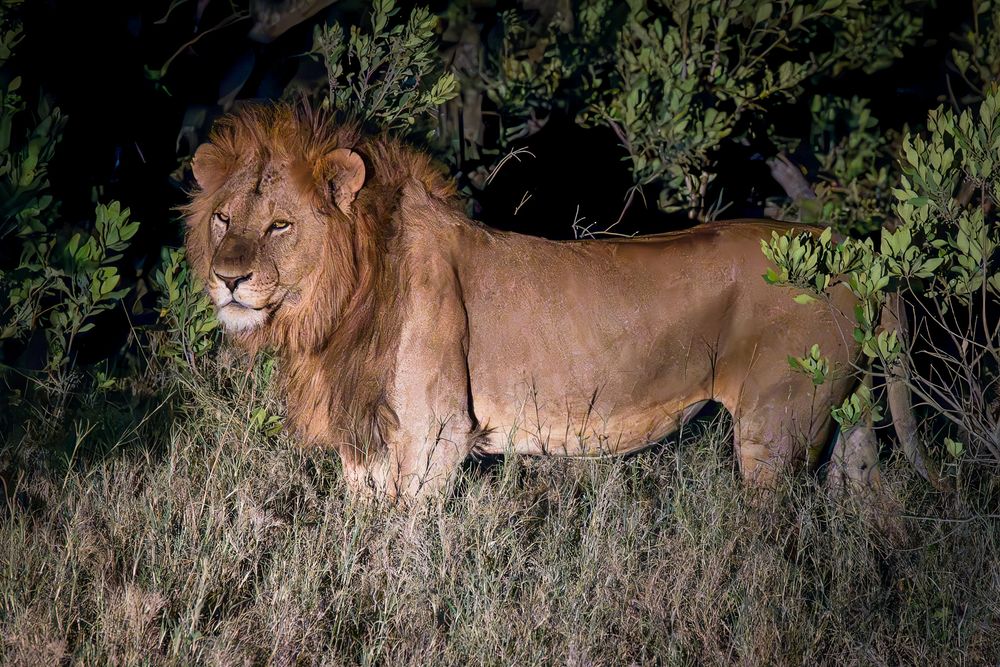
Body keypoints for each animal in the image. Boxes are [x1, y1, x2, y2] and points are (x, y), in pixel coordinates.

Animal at [184, 103, 883, 499]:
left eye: (280, 225)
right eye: (222, 218)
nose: (228, 279)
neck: (337, 310)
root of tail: (854, 251)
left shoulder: (436, 435)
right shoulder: (365, 440)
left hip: (775, 432)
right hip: (851, 427)